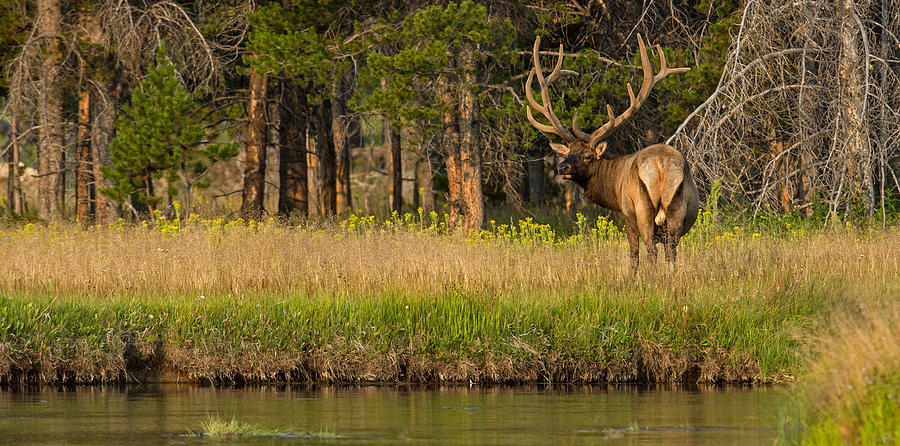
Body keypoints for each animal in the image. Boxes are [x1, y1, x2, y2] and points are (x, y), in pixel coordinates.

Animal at [528, 34, 704, 268]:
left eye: (588, 156)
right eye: (566, 153)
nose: (562, 167)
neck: (613, 185)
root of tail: (661, 166)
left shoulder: (626, 216)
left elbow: (633, 256)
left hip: (641, 210)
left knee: (650, 253)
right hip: (676, 211)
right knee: (671, 255)